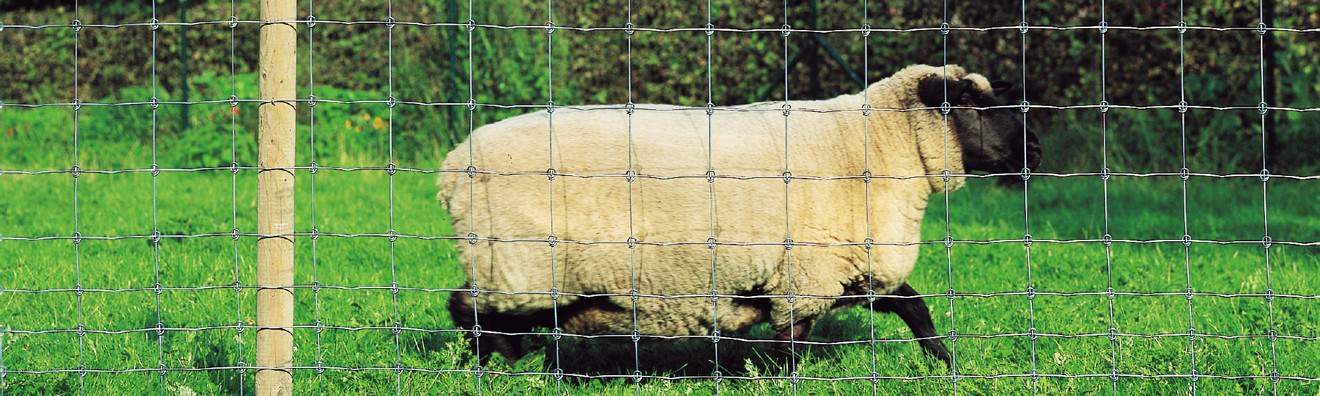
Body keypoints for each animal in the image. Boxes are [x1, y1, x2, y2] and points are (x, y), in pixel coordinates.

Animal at [440, 64, 1040, 364]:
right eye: (975, 106)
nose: (1033, 146)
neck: (877, 146)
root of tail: (452, 168)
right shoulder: (807, 273)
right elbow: (792, 345)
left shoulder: (851, 267)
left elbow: (916, 309)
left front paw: (944, 363)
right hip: (517, 264)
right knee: (469, 310)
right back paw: (496, 365)